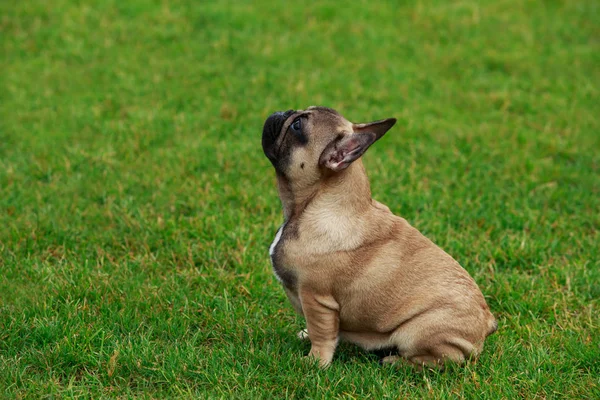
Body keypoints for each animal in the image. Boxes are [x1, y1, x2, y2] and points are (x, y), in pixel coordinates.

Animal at [262, 107, 496, 368]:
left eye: (297, 126)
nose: (282, 112)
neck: (314, 204)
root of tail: (487, 322)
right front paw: (307, 337)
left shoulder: (317, 299)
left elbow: (321, 333)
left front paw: (314, 362)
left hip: (417, 331)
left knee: (440, 361)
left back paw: (396, 361)